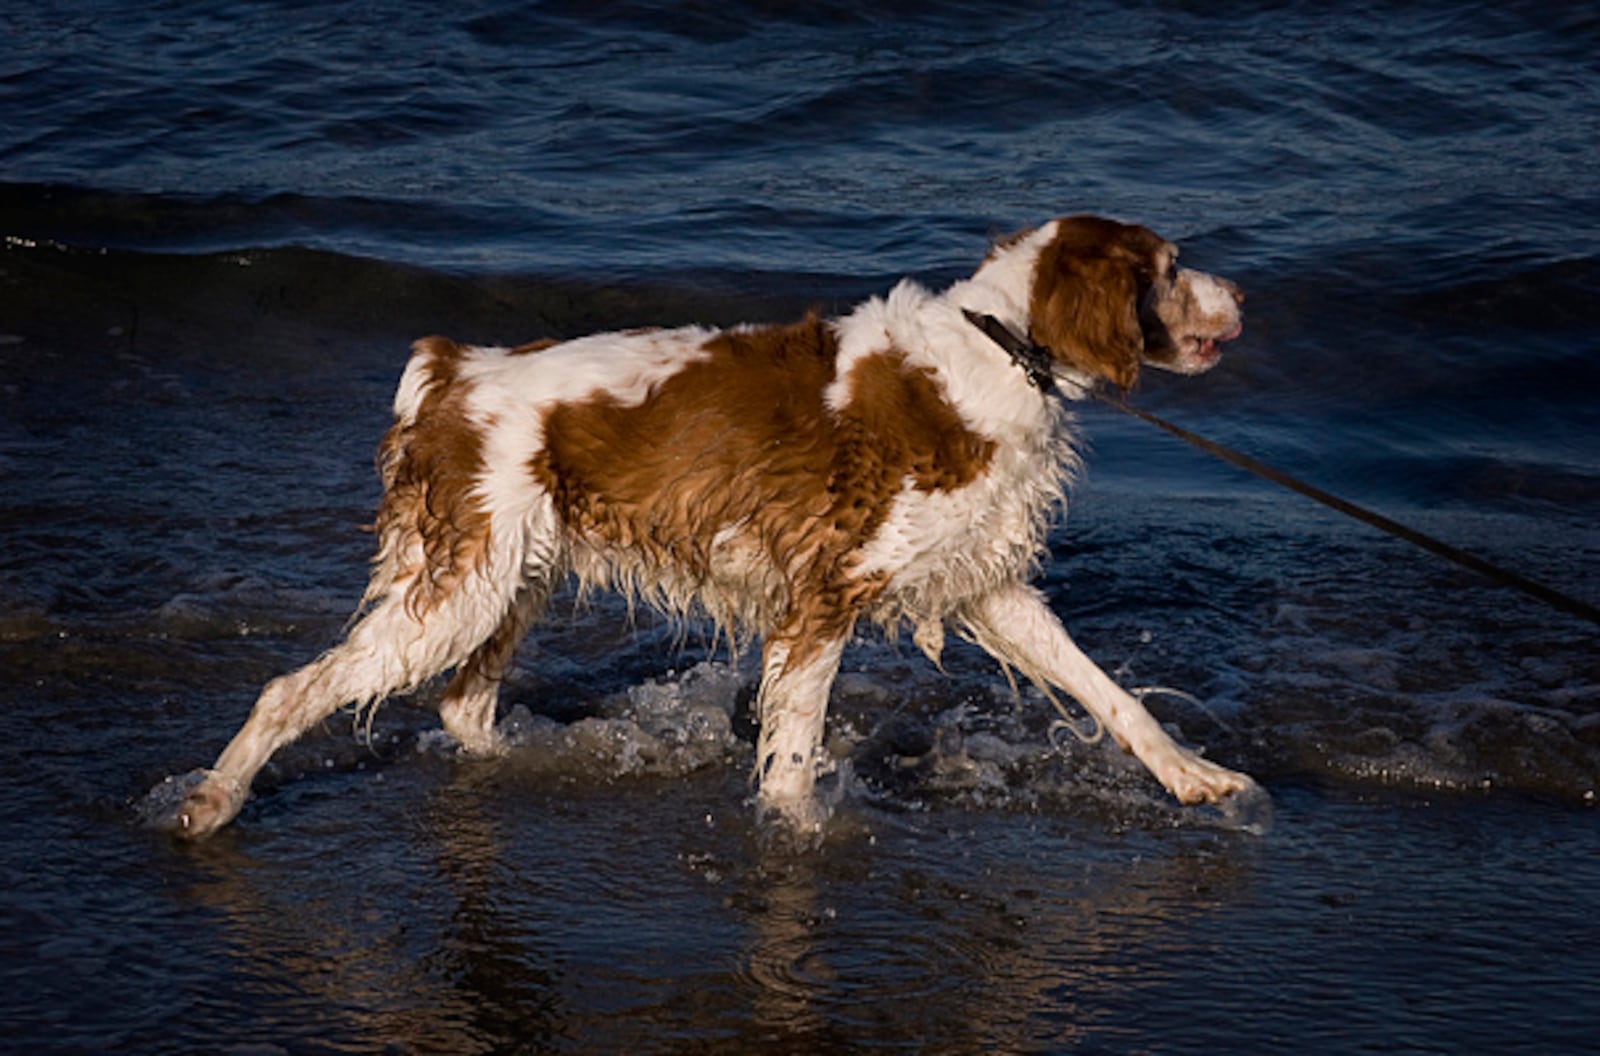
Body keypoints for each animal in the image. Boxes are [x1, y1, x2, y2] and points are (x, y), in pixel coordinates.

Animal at [170, 214, 1253, 838]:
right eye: (1169, 268)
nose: (1242, 294)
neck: (1002, 349)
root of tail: (450, 371)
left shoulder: (984, 584)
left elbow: (1111, 694)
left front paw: (1195, 777)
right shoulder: (822, 598)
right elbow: (791, 761)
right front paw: (797, 838)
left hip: (511, 581)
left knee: (462, 707)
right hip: (461, 590)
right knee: (292, 688)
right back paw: (213, 800)